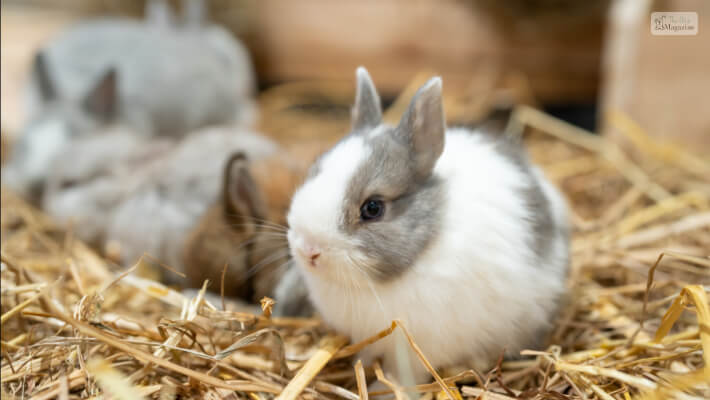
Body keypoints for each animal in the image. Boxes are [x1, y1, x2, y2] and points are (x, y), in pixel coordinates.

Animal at [276, 69, 572, 384]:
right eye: (314, 171)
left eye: (373, 208)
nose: (308, 249)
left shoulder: (417, 350)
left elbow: (405, 376)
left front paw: (385, 389)